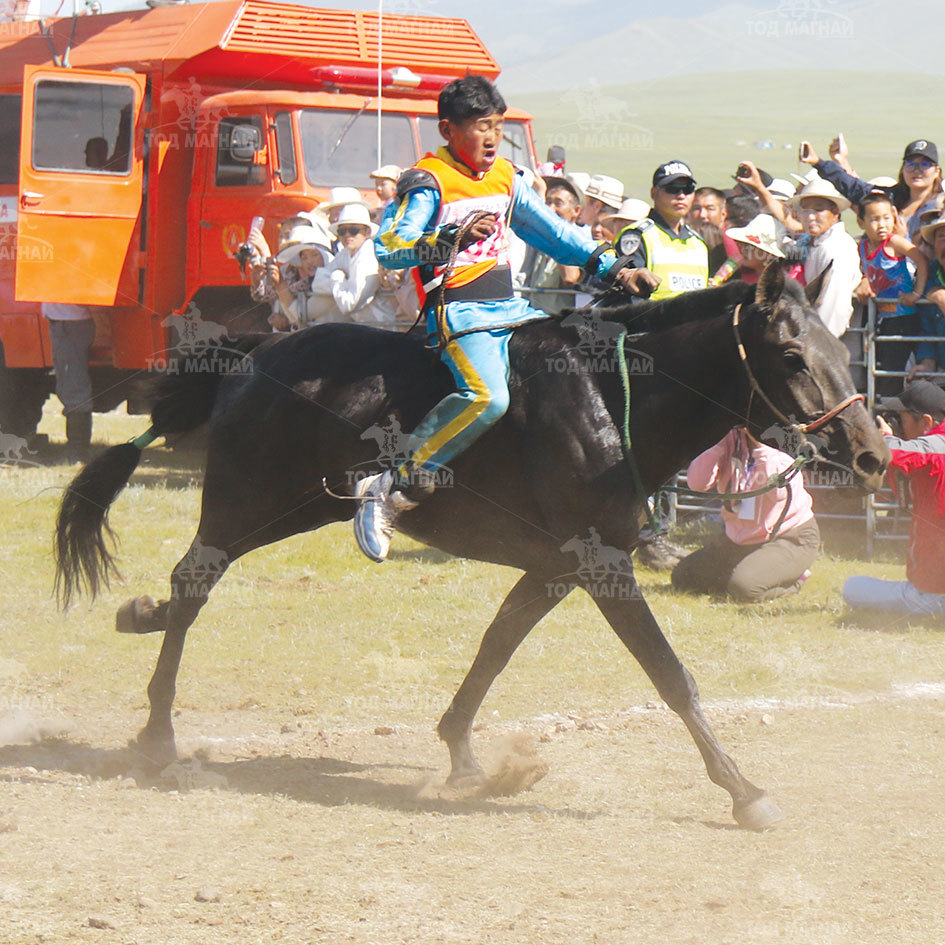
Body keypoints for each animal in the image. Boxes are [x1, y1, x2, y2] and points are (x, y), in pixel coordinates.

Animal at [54, 265, 888, 829]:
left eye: (834, 345)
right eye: (791, 356)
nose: (872, 451)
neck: (609, 398)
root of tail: (254, 353)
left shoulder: (554, 568)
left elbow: (495, 647)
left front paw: (461, 752)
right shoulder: (602, 564)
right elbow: (669, 675)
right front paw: (744, 790)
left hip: (295, 508)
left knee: (184, 588)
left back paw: (140, 621)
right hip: (245, 502)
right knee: (193, 580)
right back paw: (157, 731)